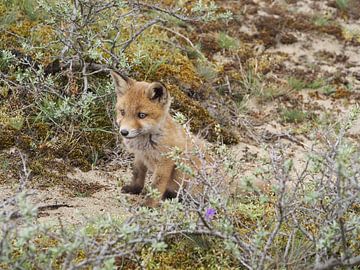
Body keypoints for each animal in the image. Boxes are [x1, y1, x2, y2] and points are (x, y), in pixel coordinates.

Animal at [111, 69, 198, 207]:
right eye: (122, 112)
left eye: (141, 115)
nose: (124, 132)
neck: (145, 143)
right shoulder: (140, 156)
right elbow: (137, 174)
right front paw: (134, 189)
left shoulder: (165, 162)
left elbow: (156, 186)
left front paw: (149, 205)